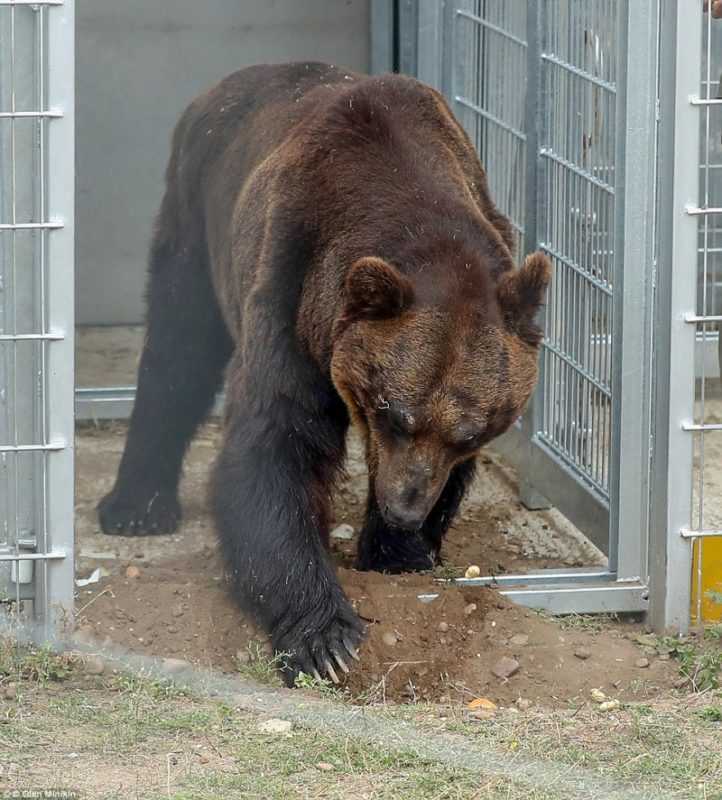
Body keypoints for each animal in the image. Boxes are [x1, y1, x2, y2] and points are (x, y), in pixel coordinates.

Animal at [98, 62, 548, 688]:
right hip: (194, 214)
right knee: (176, 349)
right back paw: (136, 506)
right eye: (391, 411)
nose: (404, 507)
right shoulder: (291, 286)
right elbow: (275, 445)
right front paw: (326, 638)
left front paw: (398, 552)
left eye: (471, 432)